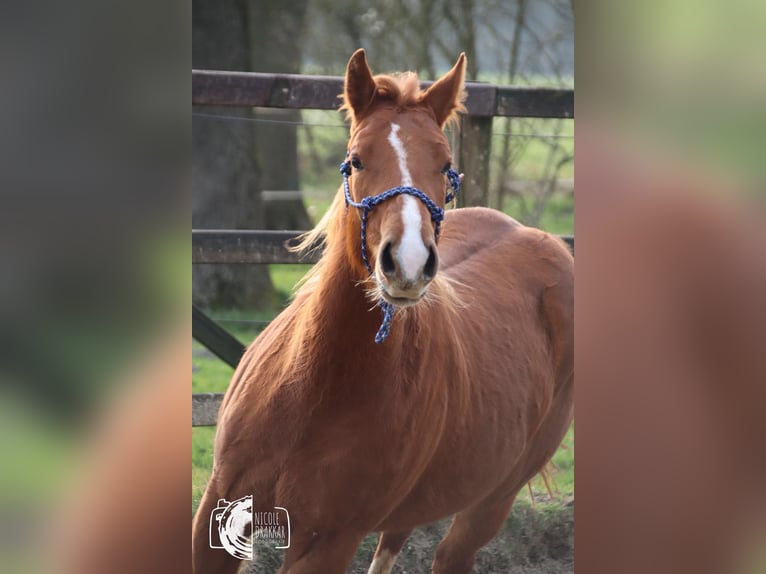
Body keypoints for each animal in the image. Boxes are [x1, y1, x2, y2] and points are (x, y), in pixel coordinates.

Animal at [192, 49, 574, 574]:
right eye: (357, 159)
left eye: (446, 165)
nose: (407, 263)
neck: (313, 388)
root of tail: (543, 240)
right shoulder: (218, 506)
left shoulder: (329, 540)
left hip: (490, 502)